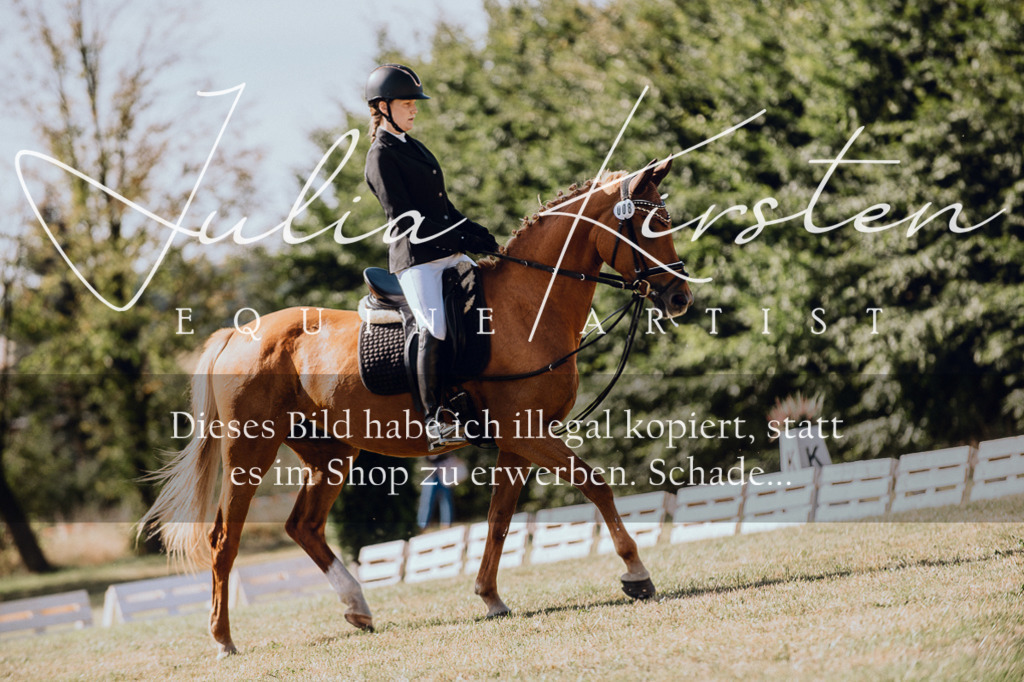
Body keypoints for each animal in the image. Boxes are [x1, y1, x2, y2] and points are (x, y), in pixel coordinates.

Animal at [141, 158, 694, 659]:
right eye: (652, 226)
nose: (680, 297)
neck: (527, 307)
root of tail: (238, 333)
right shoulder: (527, 434)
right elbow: (595, 486)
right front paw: (637, 573)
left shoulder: (518, 443)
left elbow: (499, 518)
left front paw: (490, 597)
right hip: (249, 451)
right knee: (224, 540)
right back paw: (224, 640)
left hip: (331, 453)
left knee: (303, 526)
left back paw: (358, 607)